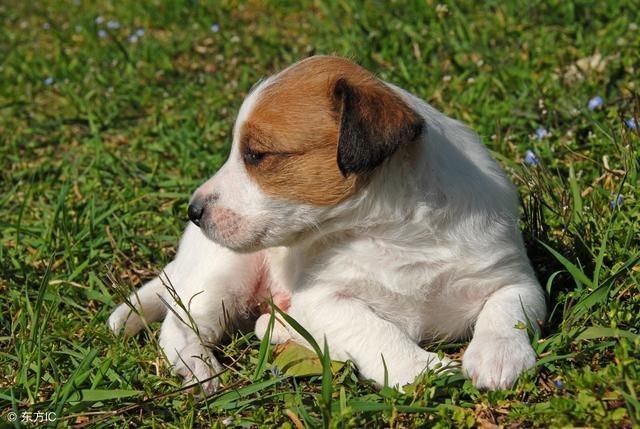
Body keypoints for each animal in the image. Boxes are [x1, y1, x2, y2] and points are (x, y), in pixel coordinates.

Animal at [109, 56, 544, 394]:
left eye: (256, 154)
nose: (193, 210)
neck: (397, 234)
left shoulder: (512, 275)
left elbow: (507, 310)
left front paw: (497, 356)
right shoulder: (322, 299)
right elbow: (375, 329)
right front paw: (422, 370)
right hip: (224, 275)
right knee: (179, 325)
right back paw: (199, 368)